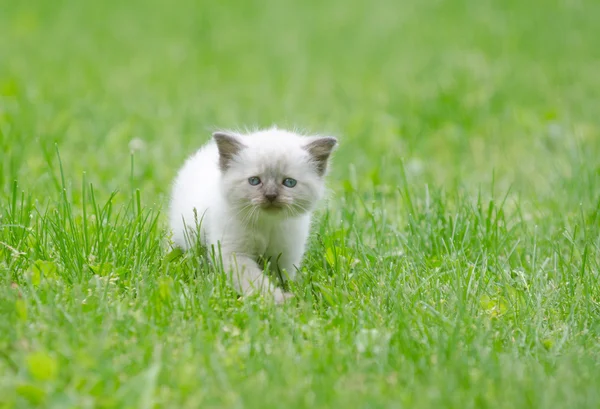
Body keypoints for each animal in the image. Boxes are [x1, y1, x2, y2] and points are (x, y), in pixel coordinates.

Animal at [169, 127, 338, 302]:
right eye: (254, 181)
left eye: (289, 182)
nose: (271, 196)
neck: (268, 224)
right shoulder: (235, 254)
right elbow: (257, 282)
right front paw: (277, 299)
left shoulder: (284, 256)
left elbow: (280, 279)